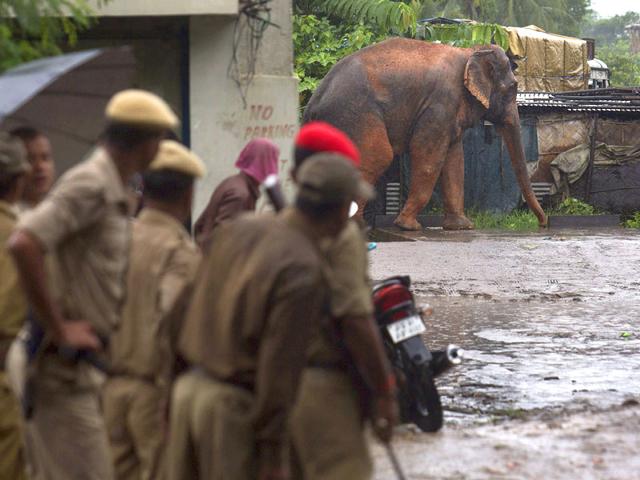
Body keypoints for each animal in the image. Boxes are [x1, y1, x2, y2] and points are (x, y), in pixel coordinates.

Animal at [303, 38, 547, 231]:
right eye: (512, 88)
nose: (542, 223)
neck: (470, 52)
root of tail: (313, 103)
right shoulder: (440, 104)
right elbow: (428, 154)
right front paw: (408, 226)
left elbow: (455, 161)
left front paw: (462, 227)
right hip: (356, 114)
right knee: (378, 156)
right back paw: (357, 226)